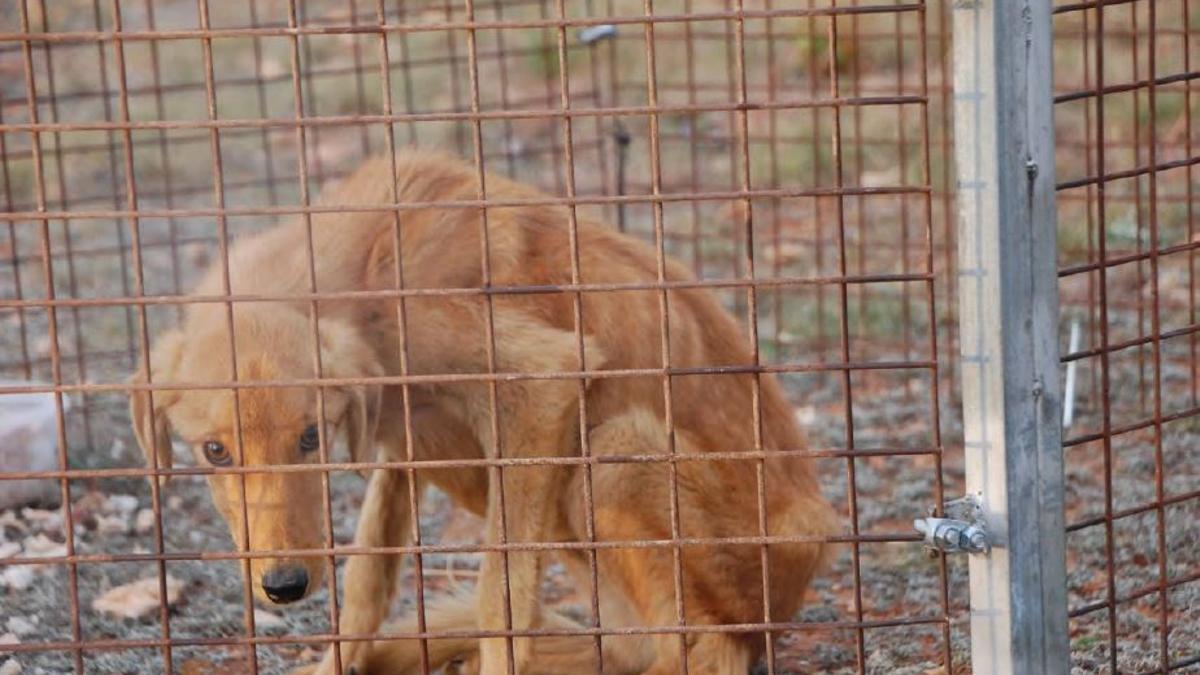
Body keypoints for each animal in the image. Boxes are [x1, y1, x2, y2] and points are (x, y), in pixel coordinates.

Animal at [131, 149, 840, 667]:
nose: (284, 586)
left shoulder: (542, 381)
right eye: (214, 452)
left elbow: (499, 602)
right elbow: (366, 585)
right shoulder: (399, 436)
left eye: (310, 439)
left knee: (708, 647)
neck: (366, 267)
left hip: (621, 457)